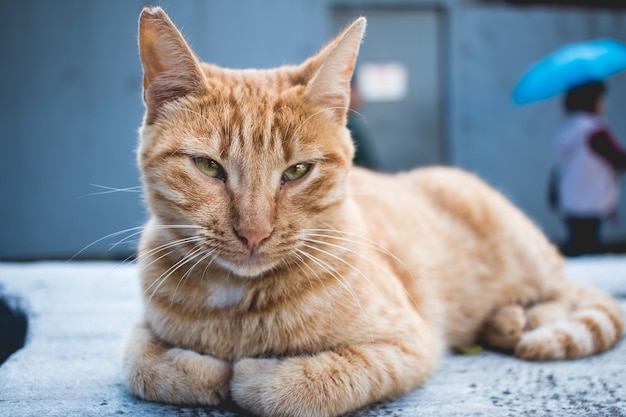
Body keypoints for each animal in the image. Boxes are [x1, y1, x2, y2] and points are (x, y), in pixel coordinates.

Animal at [124, 7, 620, 416]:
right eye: (208, 166)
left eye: (297, 171)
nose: (254, 233)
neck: (237, 306)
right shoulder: (142, 330)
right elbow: (144, 367)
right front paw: (203, 370)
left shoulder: (409, 343)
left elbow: (304, 386)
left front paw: (252, 375)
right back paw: (504, 322)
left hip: (525, 259)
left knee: (566, 293)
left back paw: (521, 321)